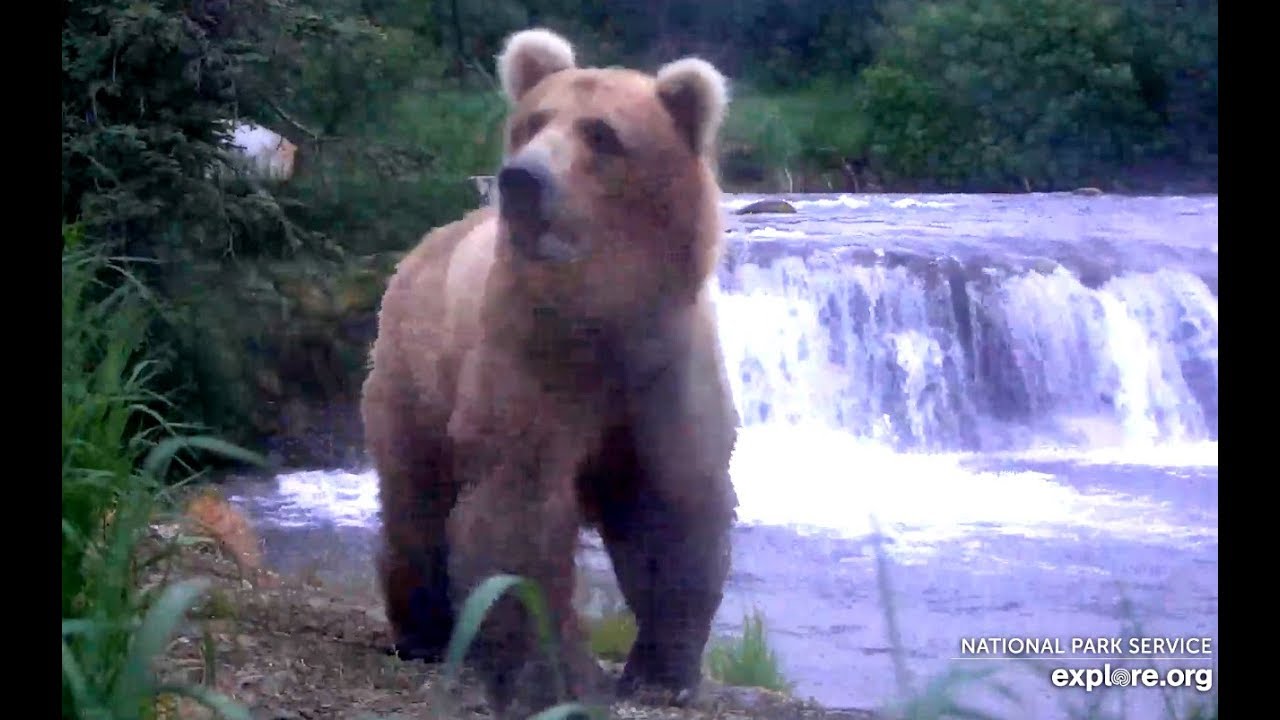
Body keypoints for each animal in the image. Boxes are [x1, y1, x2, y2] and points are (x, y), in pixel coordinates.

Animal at [360, 27, 740, 718]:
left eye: (602, 134)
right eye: (535, 121)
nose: (522, 180)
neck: (605, 314)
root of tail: (423, 245)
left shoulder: (662, 369)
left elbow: (669, 504)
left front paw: (662, 670)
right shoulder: (535, 357)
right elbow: (519, 511)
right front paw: (556, 677)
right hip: (415, 370)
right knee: (416, 497)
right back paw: (424, 630)